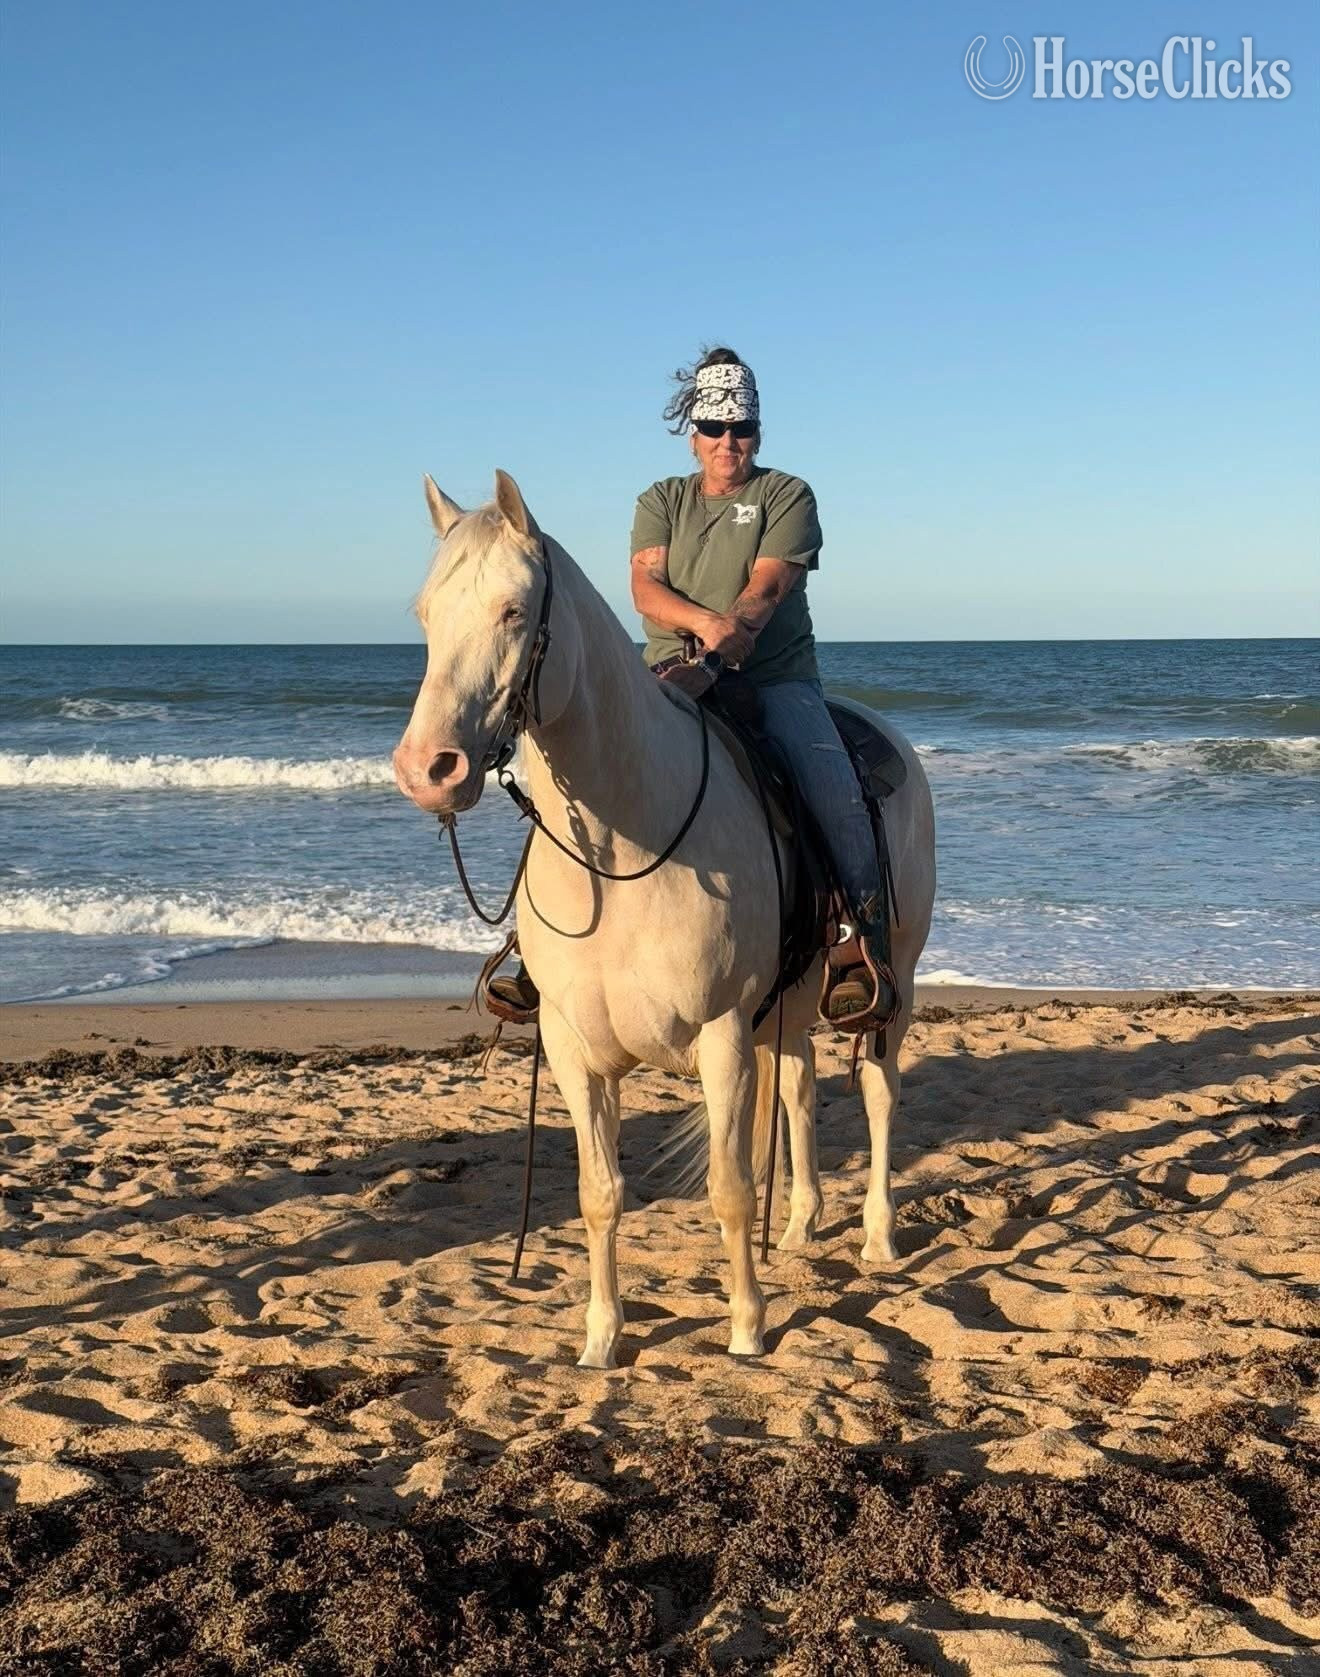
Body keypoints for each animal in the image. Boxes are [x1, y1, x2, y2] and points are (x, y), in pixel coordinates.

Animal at [393, 471, 936, 1369]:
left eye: (513, 609)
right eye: (426, 614)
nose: (427, 770)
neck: (622, 851)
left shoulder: (720, 1034)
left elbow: (729, 1186)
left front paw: (747, 1326)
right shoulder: (574, 1049)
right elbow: (599, 1192)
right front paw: (601, 1338)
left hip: (897, 978)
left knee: (880, 1090)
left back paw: (877, 1236)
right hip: (789, 1005)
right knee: (798, 1087)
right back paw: (800, 1225)